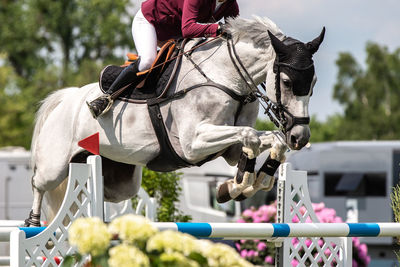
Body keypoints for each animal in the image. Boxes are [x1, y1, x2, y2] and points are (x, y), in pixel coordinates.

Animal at [25, 16, 324, 226]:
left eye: (313, 85)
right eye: (286, 82)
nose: (300, 137)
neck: (226, 77)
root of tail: (64, 99)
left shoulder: (229, 149)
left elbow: (267, 140)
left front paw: (240, 185)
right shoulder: (193, 143)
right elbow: (250, 134)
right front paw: (240, 184)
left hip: (120, 179)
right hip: (54, 165)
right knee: (38, 185)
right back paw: (37, 226)